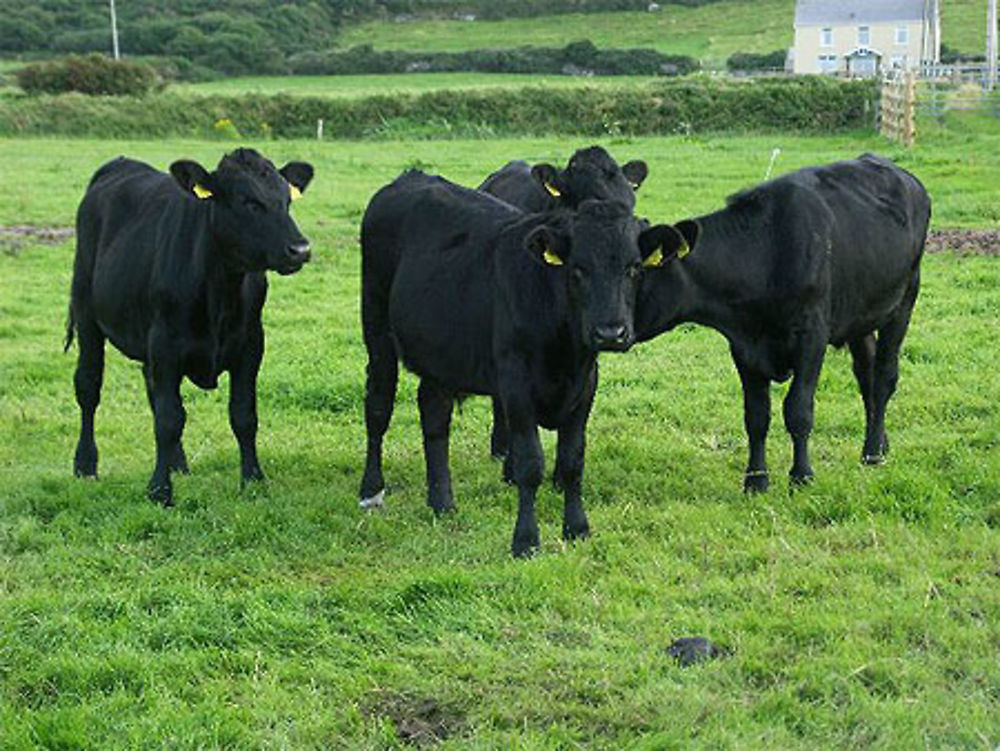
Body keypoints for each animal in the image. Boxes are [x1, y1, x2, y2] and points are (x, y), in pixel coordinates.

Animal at [68, 147, 312, 506]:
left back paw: (177, 462)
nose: (300, 249)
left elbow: (244, 415)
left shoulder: (251, 345)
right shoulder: (165, 345)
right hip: (87, 313)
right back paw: (85, 465)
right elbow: (169, 419)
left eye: (286, 201)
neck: (221, 289)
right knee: (88, 386)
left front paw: (253, 480)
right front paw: (159, 490)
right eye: (248, 201)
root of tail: (120, 163)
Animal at [632, 156, 928, 490]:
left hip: (904, 300)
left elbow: (798, 409)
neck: (765, 251)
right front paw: (756, 479)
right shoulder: (743, 346)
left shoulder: (812, 337)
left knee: (884, 376)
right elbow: (756, 415)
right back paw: (880, 443)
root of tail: (903, 174)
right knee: (866, 373)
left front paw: (801, 475)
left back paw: (872, 453)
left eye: (636, 271)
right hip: (860, 313)